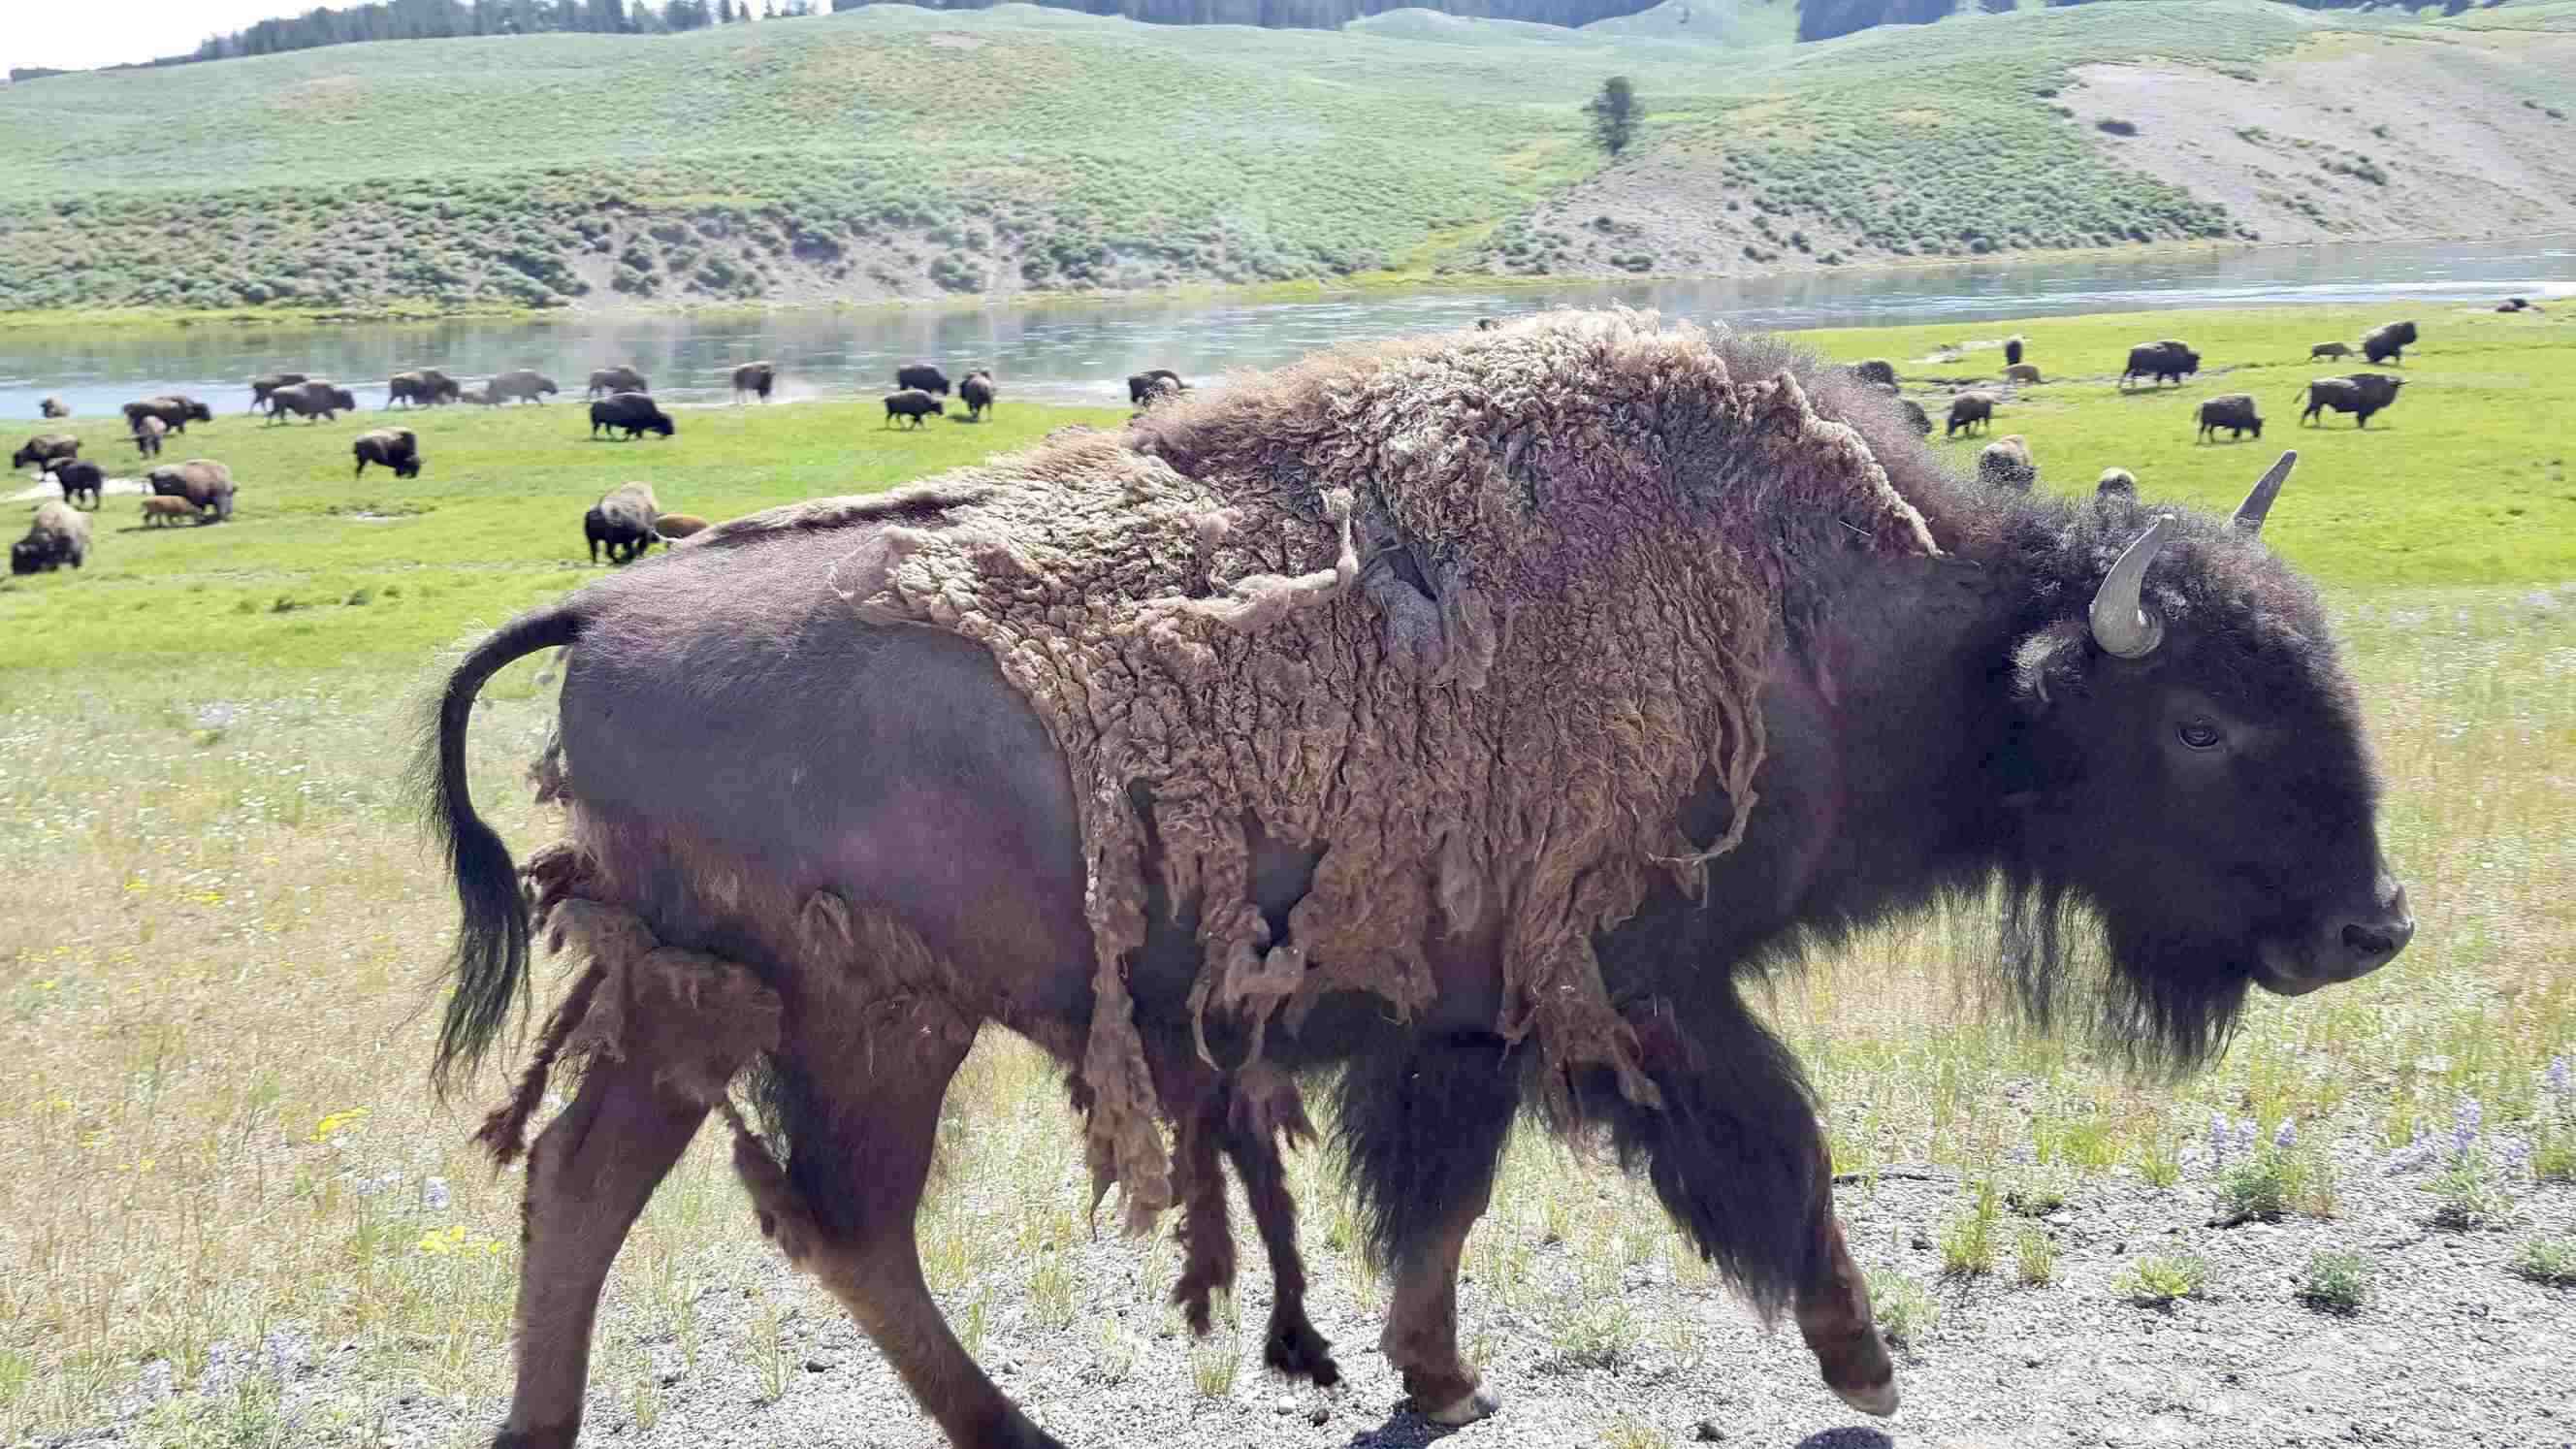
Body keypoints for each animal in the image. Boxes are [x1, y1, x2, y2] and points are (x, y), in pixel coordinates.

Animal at [422, 310, 2411, 1443]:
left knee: (605, 1189)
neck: (1839, 618)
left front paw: (1438, 1373)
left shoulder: (1459, 1026)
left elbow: (1440, 1199)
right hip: (854, 1018)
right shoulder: (1639, 988)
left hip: (718, 1011)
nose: (2367, 924)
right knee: (822, 1217)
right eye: (2203, 726)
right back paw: (1011, 1435)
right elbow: (1777, 1149)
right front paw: (1864, 1361)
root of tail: (609, 607)